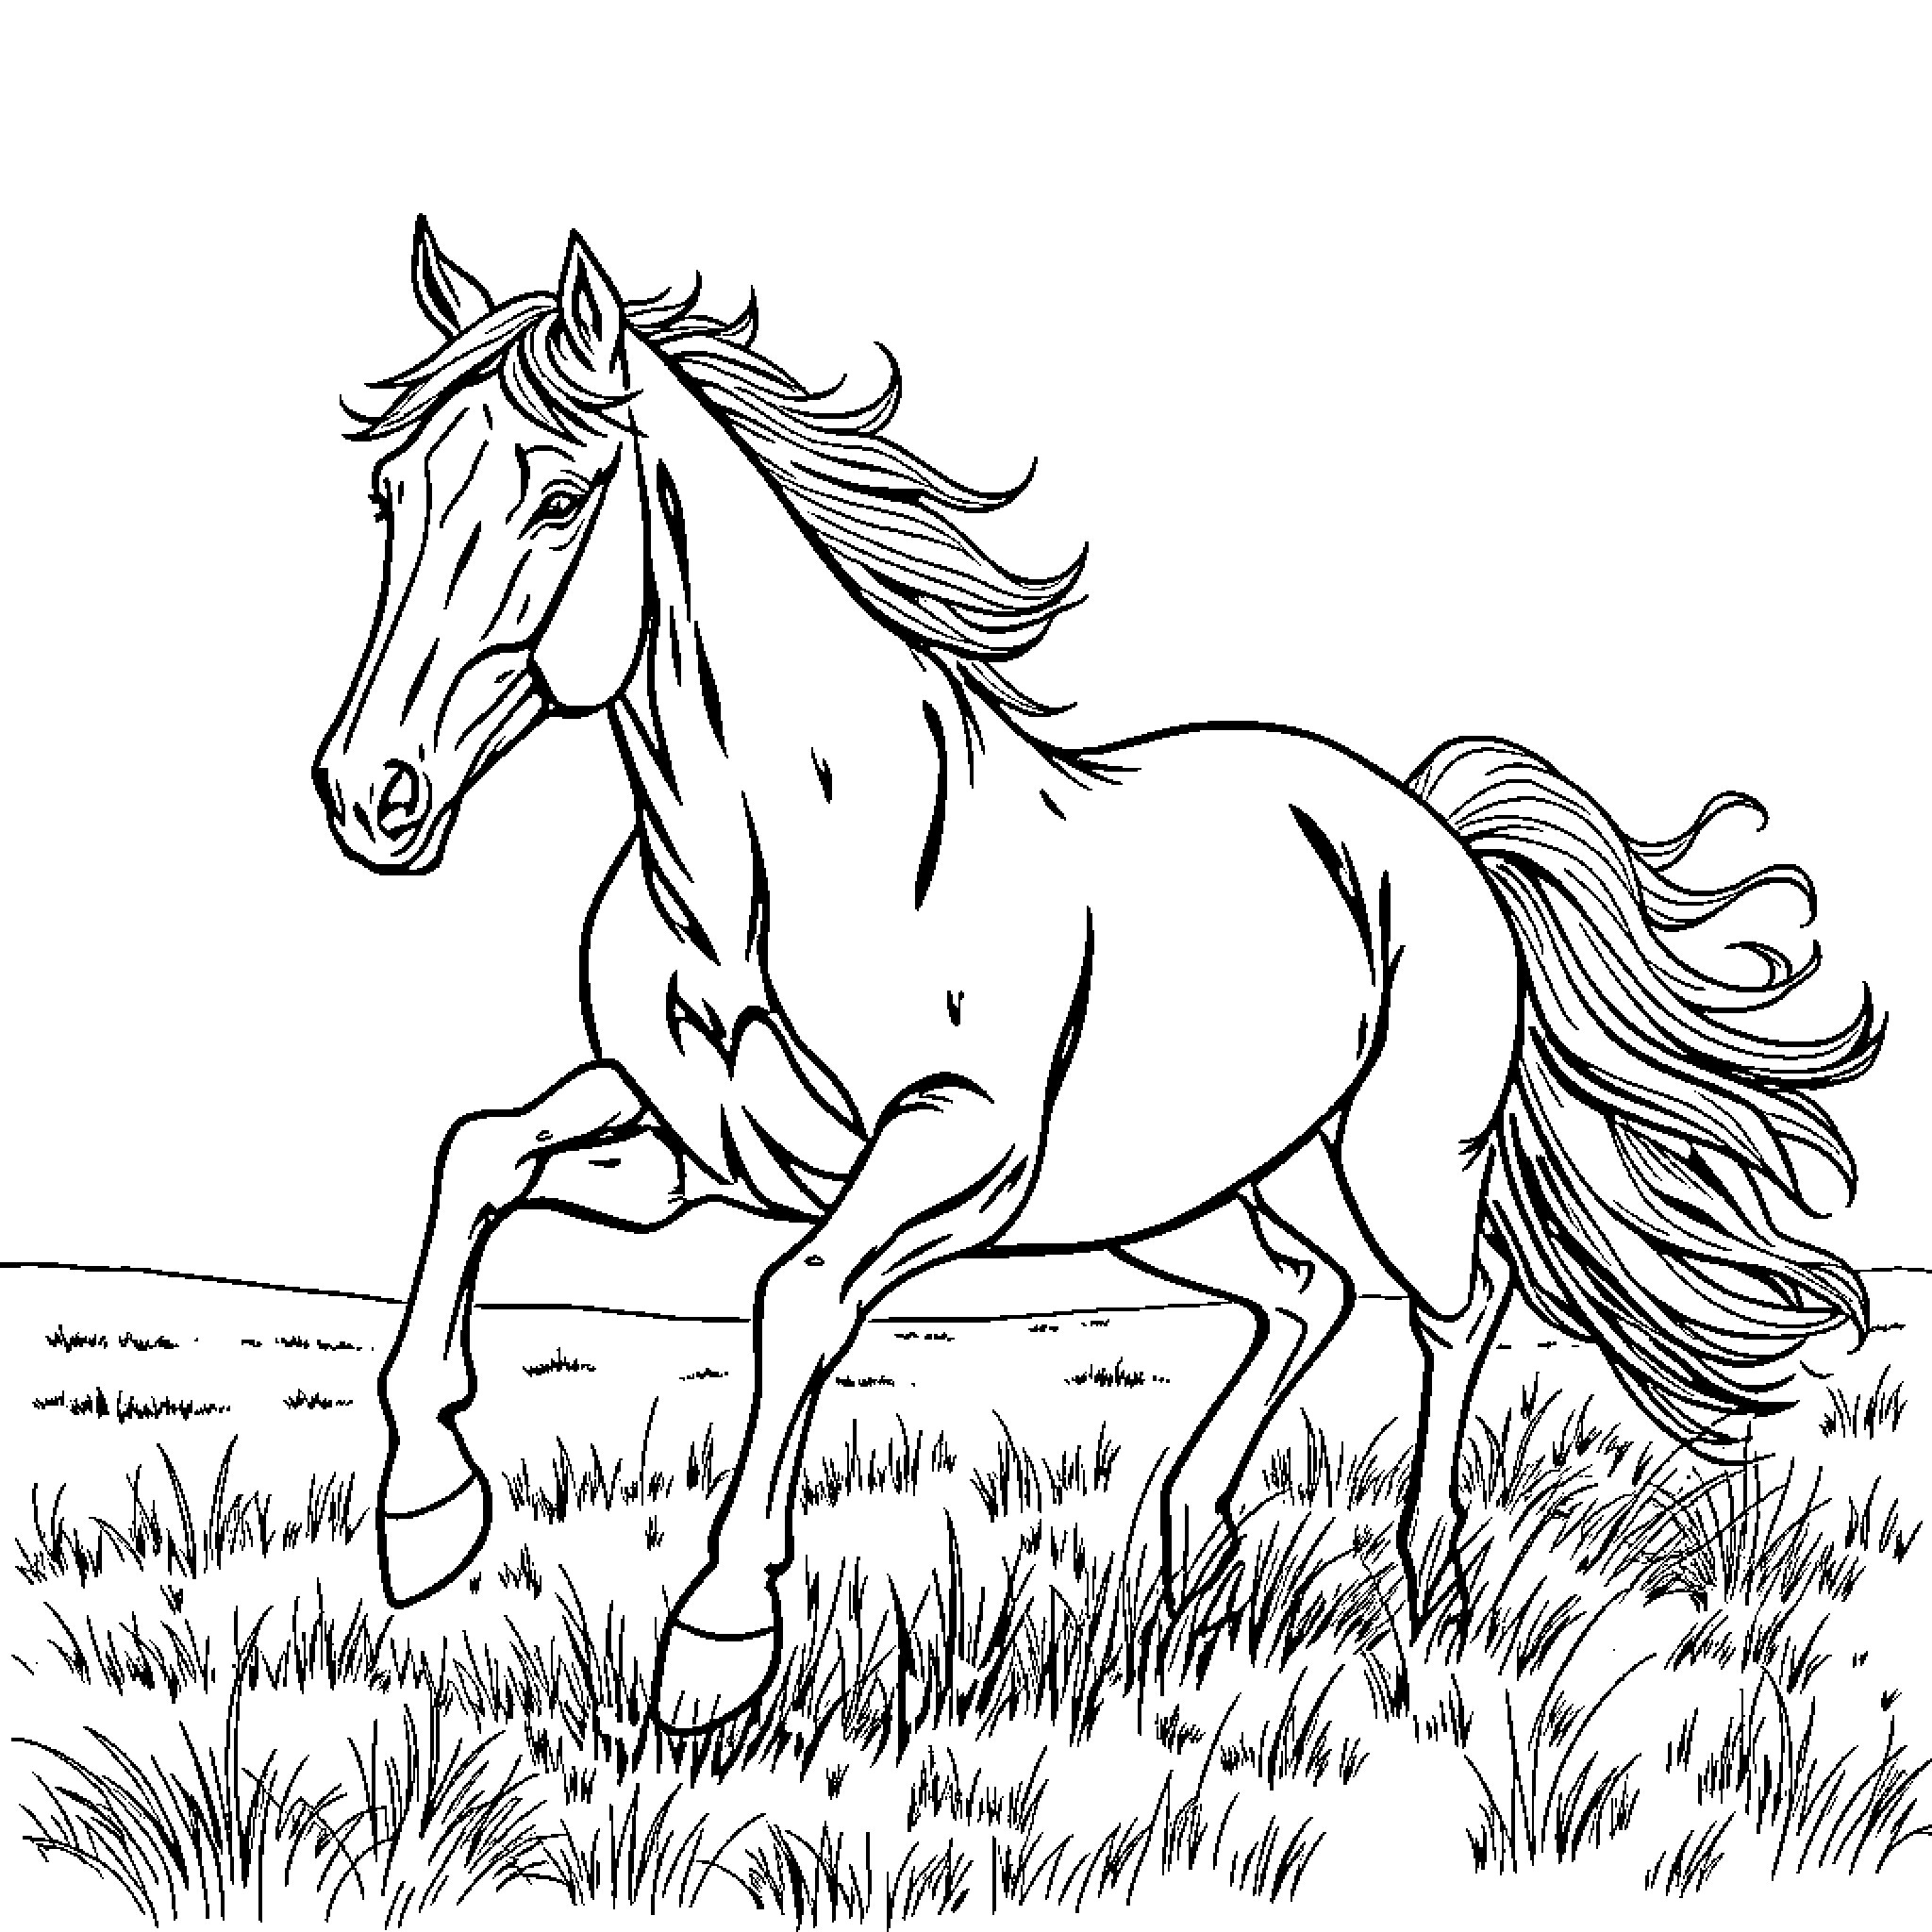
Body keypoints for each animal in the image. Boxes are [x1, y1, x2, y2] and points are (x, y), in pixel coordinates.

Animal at [313, 220, 1882, 1736]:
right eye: (389, 495)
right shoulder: (688, 1147)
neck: (770, 867)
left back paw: (1425, 1584)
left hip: (1391, 1164)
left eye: (558, 498)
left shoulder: (957, 1149)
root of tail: (1431, 829)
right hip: (1187, 1198)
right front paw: (425, 1518)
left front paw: (716, 1644)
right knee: (1302, 1295)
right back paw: (1186, 1546)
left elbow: (797, 1298)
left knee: (1458, 1304)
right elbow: (477, 1158)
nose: (367, 793)